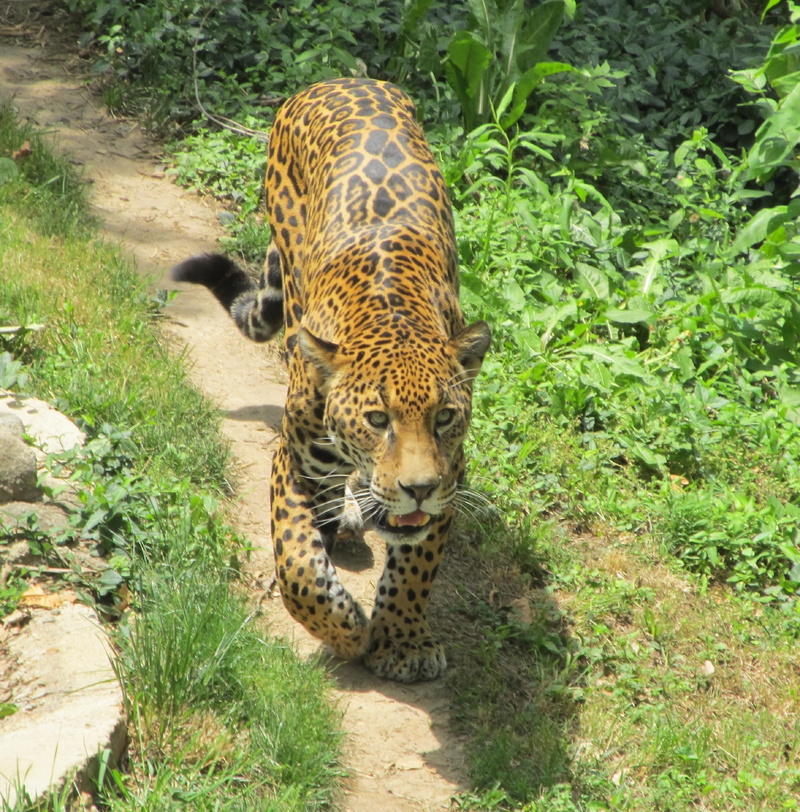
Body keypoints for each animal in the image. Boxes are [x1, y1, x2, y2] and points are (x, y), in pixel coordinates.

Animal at [172, 77, 490, 683]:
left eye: (444, 417)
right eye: (377, 419)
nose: (418, 487)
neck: (393, 314)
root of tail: (342, 79)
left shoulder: (452, 471)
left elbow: (417, 562)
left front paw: (403, 642)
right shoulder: (294, 461)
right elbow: (297, 564)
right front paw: (347, 632)